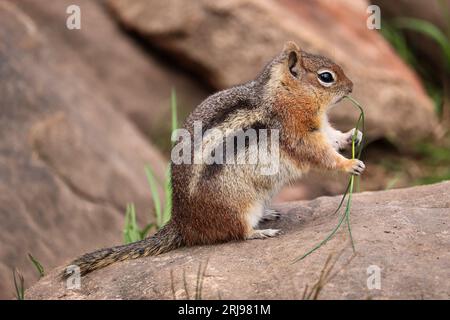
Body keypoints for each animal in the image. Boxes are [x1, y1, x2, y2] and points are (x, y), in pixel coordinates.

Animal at [66, 41, 362, 276]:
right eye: (326, 77)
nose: (352, 87)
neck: (280, 94)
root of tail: (181, 222)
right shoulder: (296, 133)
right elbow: (320, 154)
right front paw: (350, 164)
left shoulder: (320, 128)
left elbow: (333, 137)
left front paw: (353, 135)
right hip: (239, 206)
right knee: (238, 233)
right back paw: (259, 232)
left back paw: (268, 214)